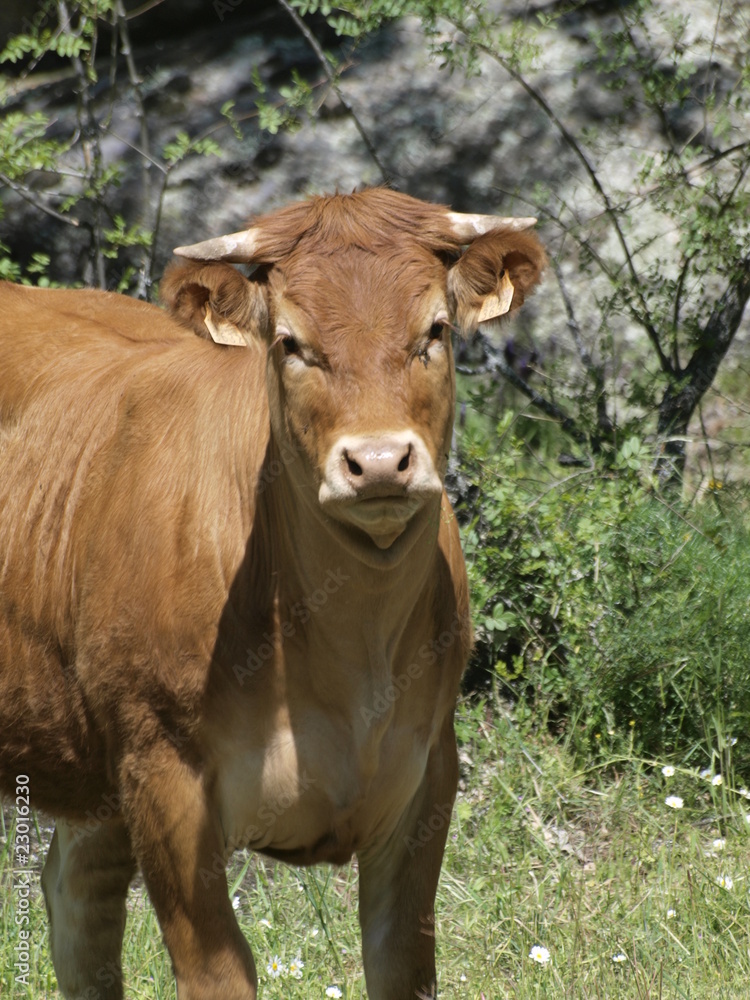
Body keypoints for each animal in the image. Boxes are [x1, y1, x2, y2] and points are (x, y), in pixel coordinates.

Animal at [0, 189, 544, 1000]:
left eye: (435, 331)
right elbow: (220, 971)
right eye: (291, 343)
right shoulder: (162, 774)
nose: (378, 462)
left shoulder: (428, 773)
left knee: (76, 899)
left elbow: (402, 961)